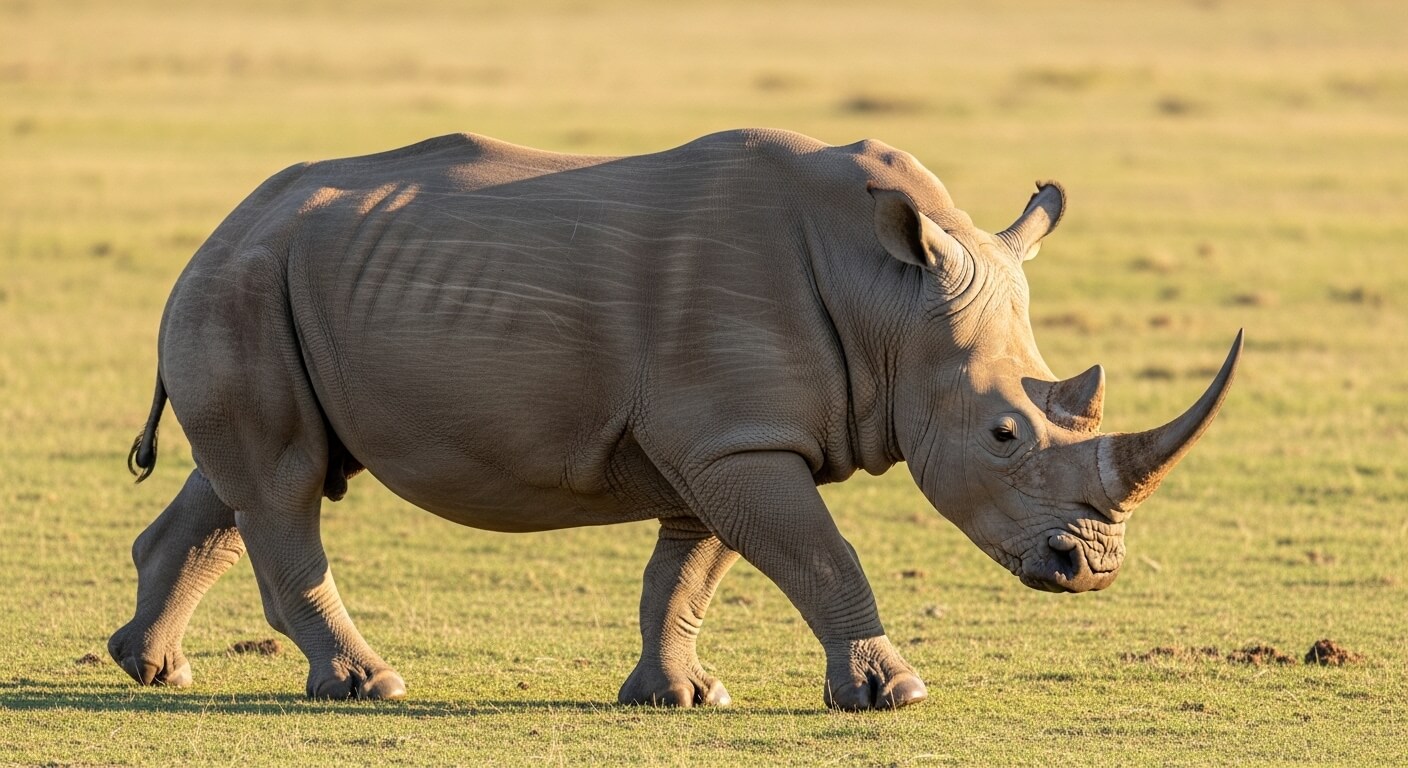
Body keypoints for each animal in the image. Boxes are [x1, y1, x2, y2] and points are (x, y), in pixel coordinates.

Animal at [111, 129, 1241, 710]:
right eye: (1006, 435)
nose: (1090, 568)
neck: (889, 298)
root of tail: (226, 224)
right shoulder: (736, 438)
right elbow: (821, 556)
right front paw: (894, 694)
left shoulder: (722, 443)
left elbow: (689, 573)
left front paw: (679, 696)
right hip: (245, 281)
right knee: (285, 484)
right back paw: (369, 686)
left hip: (269, 281)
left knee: (246, 483)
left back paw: (153, 668)